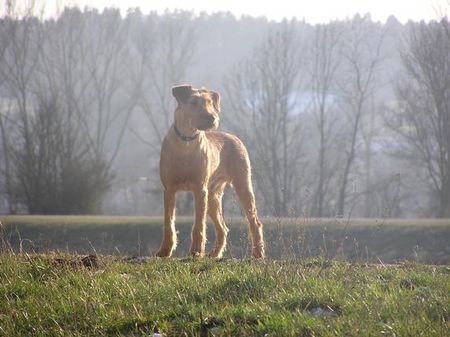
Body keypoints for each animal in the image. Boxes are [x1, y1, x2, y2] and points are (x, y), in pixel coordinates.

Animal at [156, 84, 266, 258]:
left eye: (209, 102)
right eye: (193, 102)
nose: (212, 118)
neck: (186, 142)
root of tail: (236, 138)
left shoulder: (200, 190)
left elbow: (199, 225)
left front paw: (196, 251)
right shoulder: (169, 190)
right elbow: (169, 222)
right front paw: (165, 250)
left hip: (242, 186)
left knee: (255, 222)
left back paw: (258, 253)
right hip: (213, 196)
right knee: (223, 228)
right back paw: (215, 254)